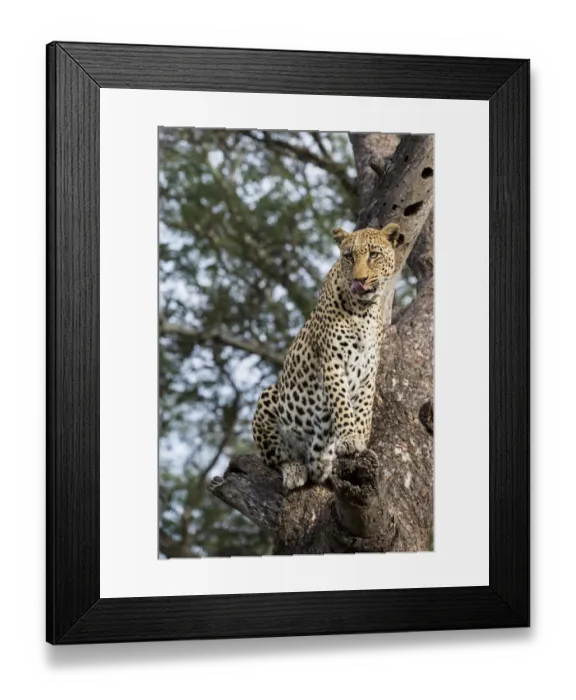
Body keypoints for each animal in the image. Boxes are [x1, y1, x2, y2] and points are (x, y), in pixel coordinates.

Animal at [252, 222, 405, 491]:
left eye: (374, 254)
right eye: (349, 256)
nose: (359, 279)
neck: (364, 311)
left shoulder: (369, 368)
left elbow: (363, 408)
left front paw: (360, 440)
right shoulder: (332, 361)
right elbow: (342, 403)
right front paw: (350, 438)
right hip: (270, 397)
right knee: (279, 457)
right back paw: (294, 470)